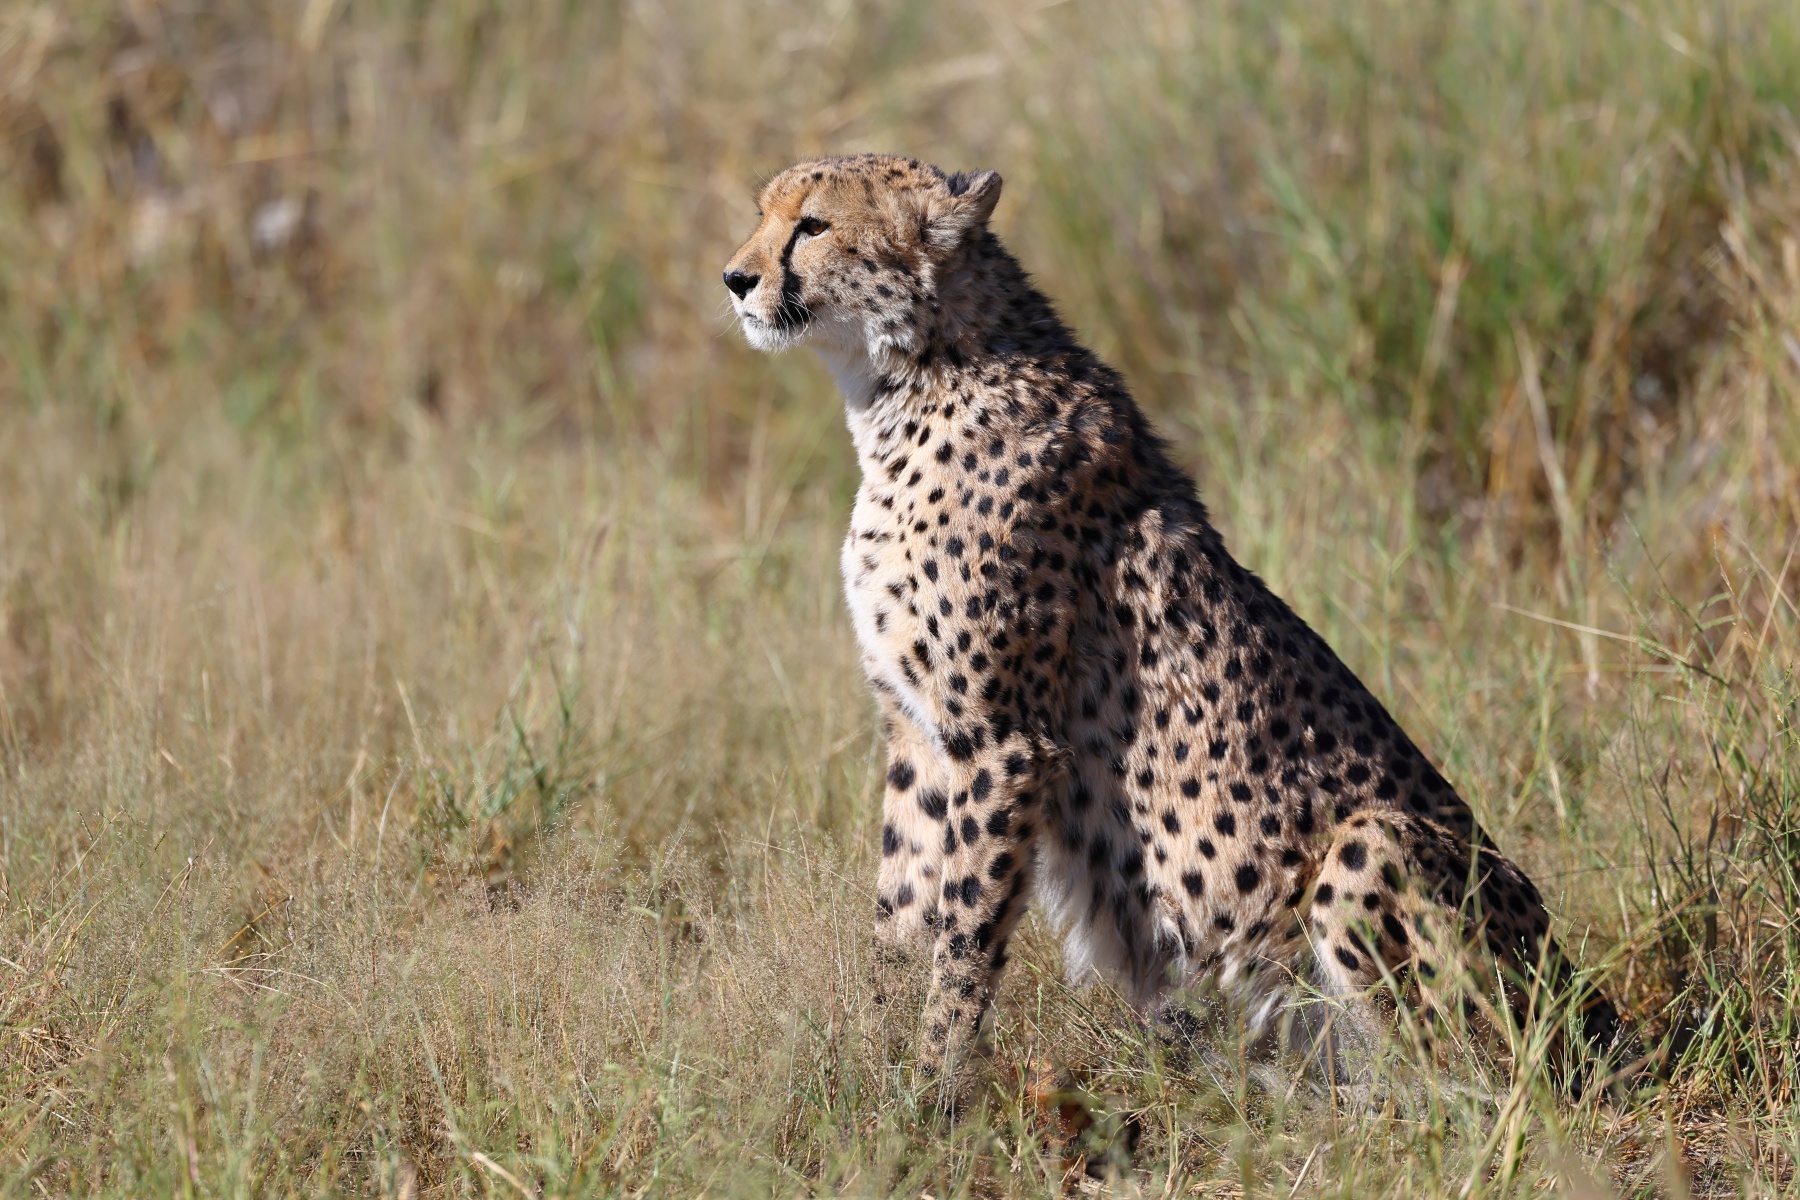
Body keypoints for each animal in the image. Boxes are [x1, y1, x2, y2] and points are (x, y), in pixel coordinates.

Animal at [721, 153, 1626, 1100]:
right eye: (764, 214)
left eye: (814, 225)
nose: (735, 278)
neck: (913, 378)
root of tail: (1595, 1010)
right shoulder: (917, 731)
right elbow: (899, 918)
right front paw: (874, 1075)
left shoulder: (1004, 741)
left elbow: (964, 934)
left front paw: (931, 1093)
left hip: (1375, 851)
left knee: (1472, 1084)